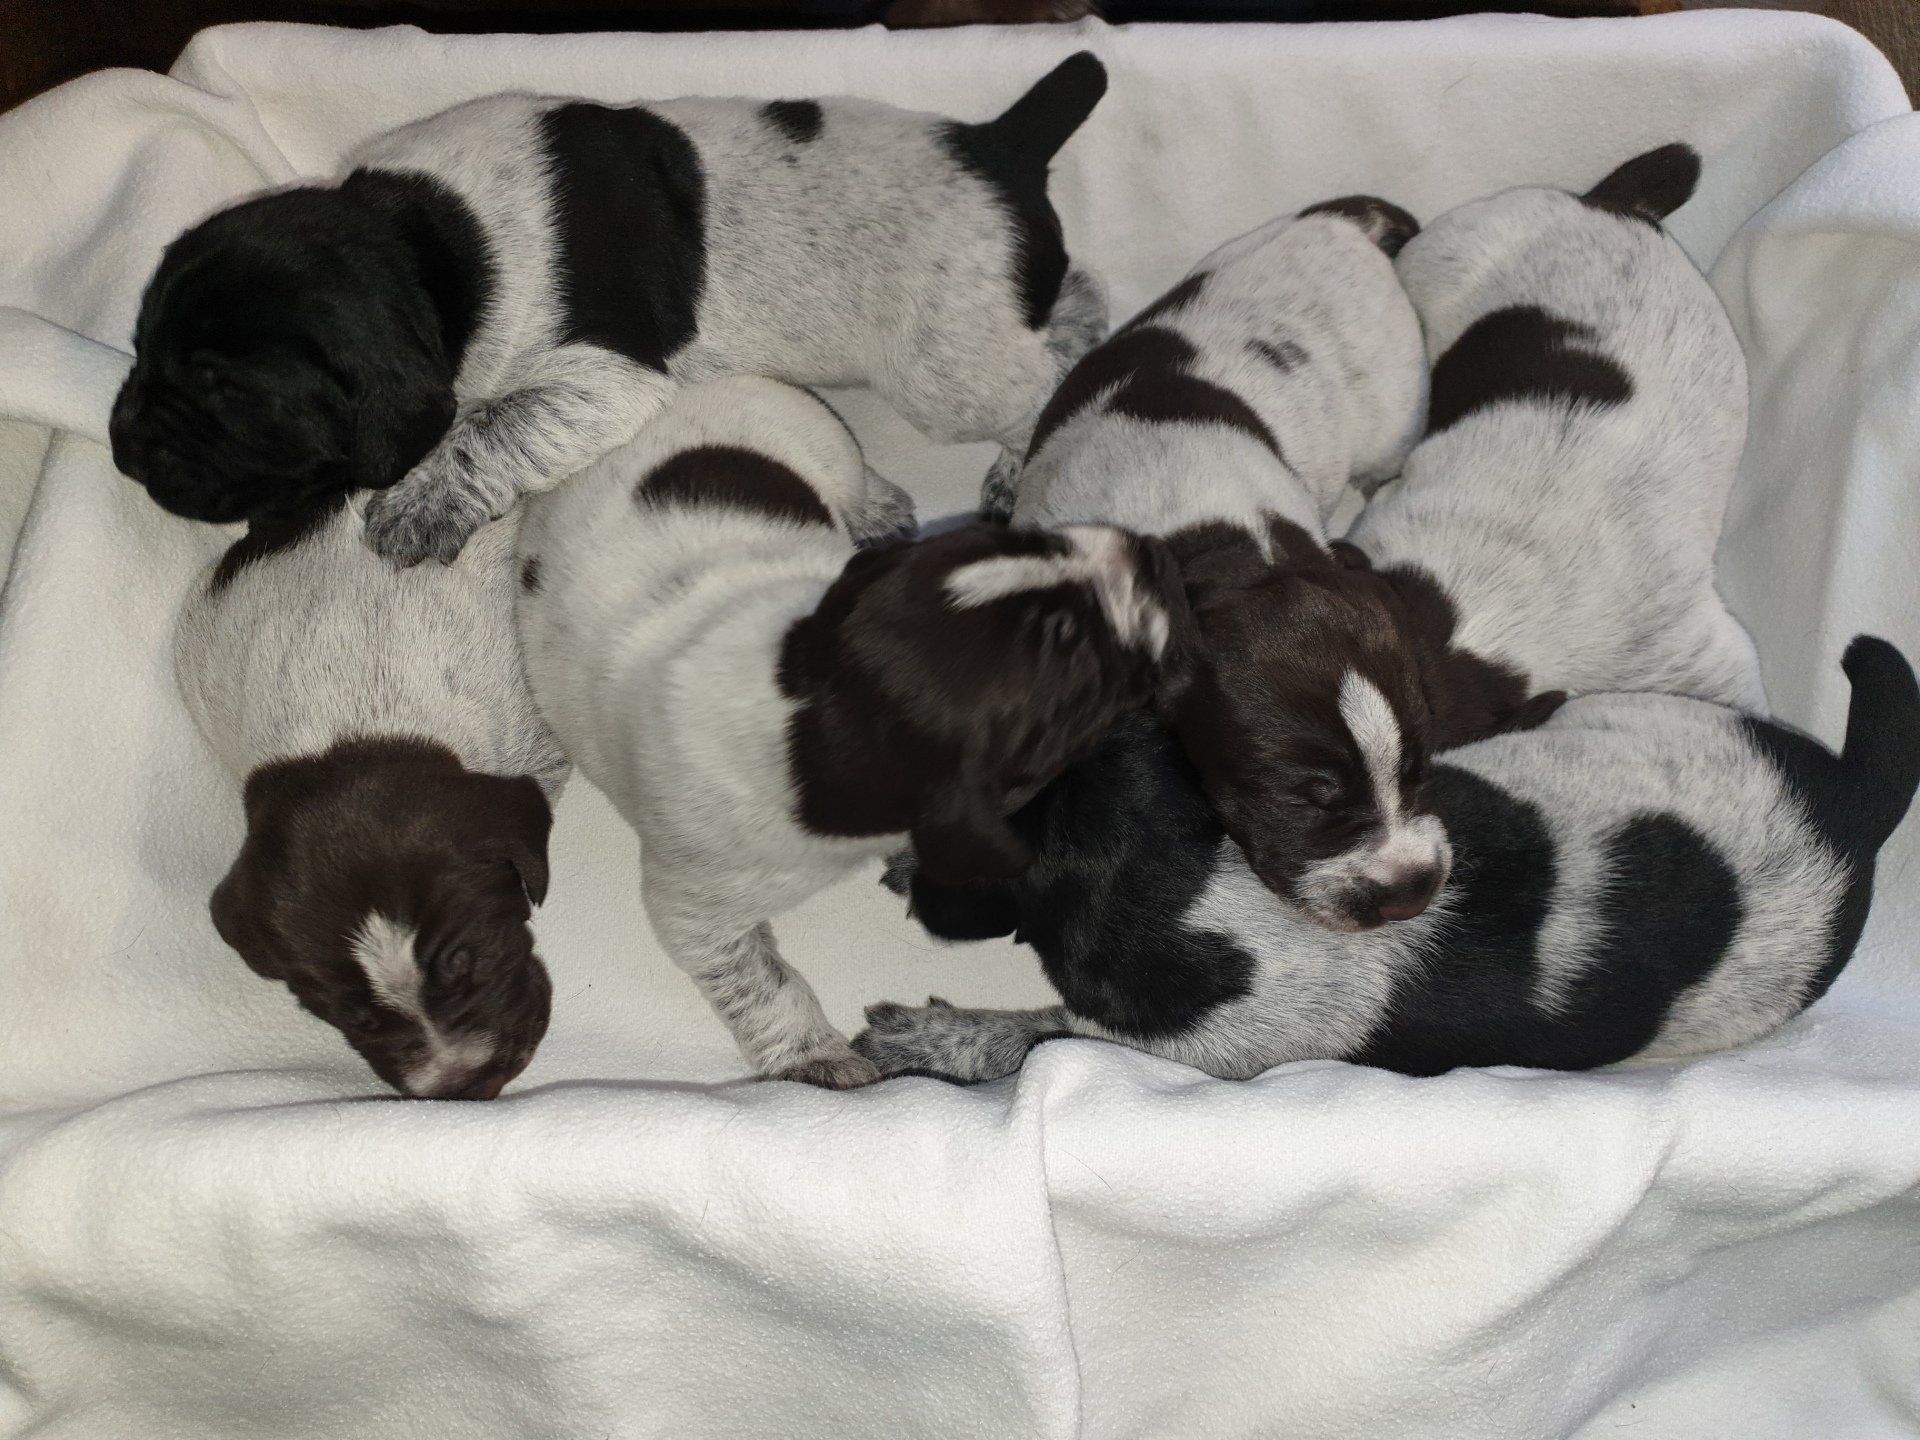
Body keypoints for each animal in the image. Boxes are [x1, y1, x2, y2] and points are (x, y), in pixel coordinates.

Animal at [109, 54, 1110, 568]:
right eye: (139, 347)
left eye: (227, 392)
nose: (123, 449)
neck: (428, 240)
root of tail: (1001, 142)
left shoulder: (606, 378)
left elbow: (488, 428)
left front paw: (420, 504)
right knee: (1077, 301)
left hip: (946, 367)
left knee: (1045, 385)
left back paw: (1024, 460)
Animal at [515, 377, 1185, 1087]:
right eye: (1077, 655)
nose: (1148, 549)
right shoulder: (697, 902)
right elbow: (760, 979)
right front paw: (813, 1055)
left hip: (814, 435)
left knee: (852, 474)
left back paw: (878, 509)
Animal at [996, 197, 1537, 932]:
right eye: (1306, 796)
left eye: (1421, 766)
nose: (1412, 892)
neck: (1222, 550)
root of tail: (1343, 223)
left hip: (1391, 419)